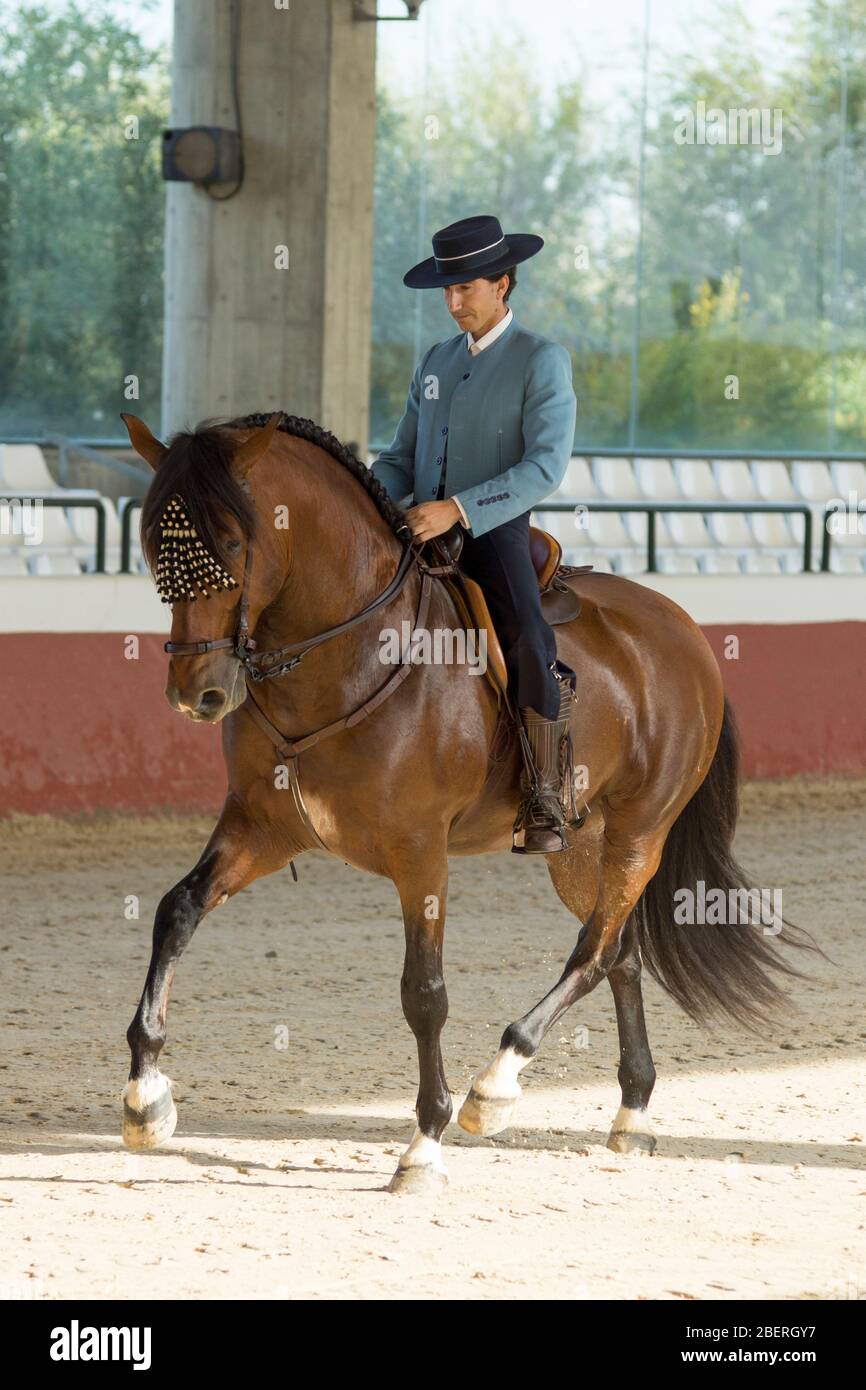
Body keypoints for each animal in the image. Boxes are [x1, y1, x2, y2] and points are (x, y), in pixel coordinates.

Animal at [118, 409, 817, 1195]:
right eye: (154, 542)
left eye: (233, 542)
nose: (197, 692)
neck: (352, 651)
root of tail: (683, 629)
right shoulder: (261, 828)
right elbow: (176, 913)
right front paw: (146, 1096)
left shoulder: (419, 852)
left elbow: (424, 992)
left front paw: (425, 1143)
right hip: (579, 847)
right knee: (622, 950)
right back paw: (632, 1111)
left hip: (641, 831)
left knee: (594, 951)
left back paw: (496, 1087)